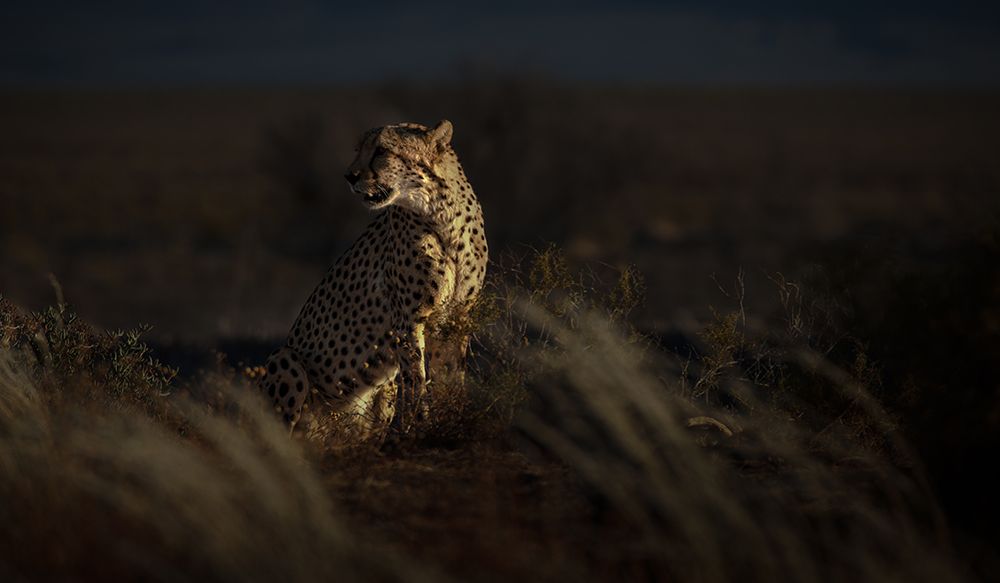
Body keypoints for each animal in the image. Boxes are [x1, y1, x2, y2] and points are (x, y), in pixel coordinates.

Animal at [258, 120, 488, 437]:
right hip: (285, 359)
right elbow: (415, 380)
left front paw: (453, 420)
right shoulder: (408, 320)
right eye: (359, 149)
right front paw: (420, 427)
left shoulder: (456, 316)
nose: (349, 176)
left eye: (382, 150)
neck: (442, 216)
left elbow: (450, 376)